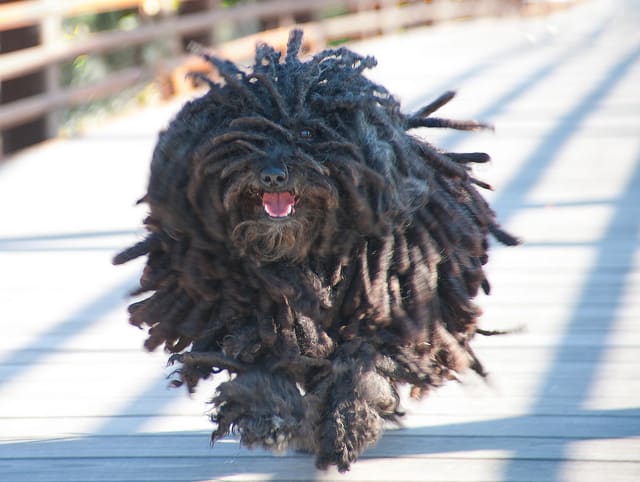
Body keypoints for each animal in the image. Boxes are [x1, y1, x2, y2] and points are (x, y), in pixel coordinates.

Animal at [112, 29, 516, 470]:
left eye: (308, 134)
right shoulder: (254, 310)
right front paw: (269, 412)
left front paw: (347, 421)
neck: (302, 258)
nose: (273, 174)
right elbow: (259, 357)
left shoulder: (381, 301)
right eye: (241, 137)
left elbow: (359, 363)